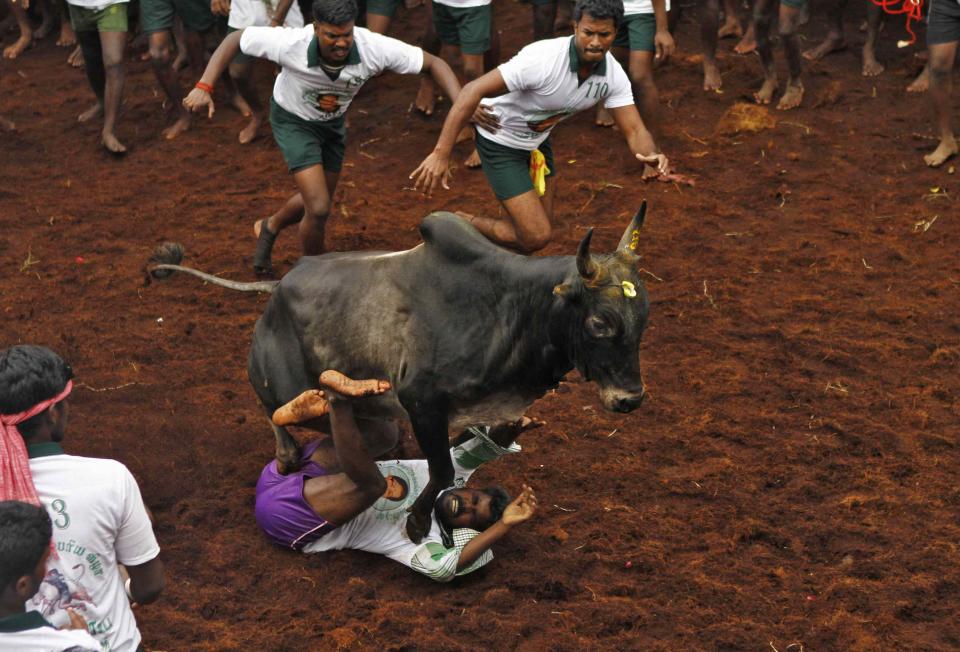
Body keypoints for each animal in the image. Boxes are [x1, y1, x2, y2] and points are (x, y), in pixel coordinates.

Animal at [146, 202, 652, 540]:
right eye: (599, 323)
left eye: (643, 317)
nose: (631, 399)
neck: (511, 310)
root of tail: (278, 287)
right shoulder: (421, 402)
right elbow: (442, 471)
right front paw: (418, 520)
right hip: (282, 384)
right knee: (278, 416)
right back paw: (293, 442)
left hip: (377, 418)